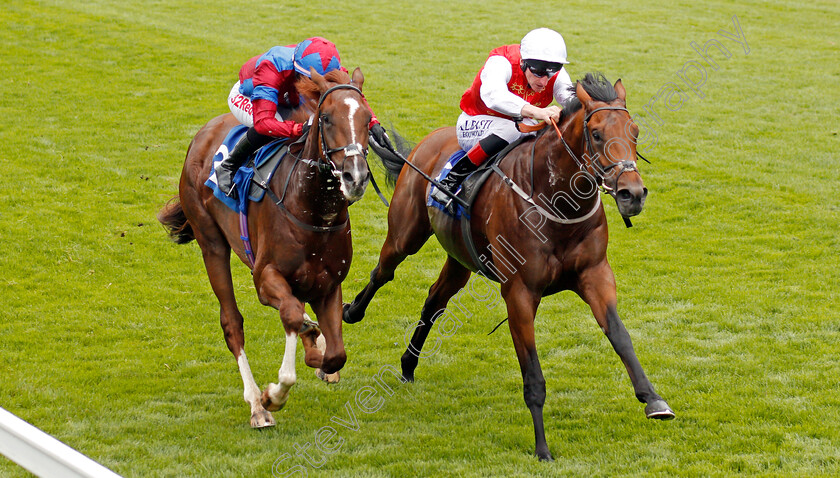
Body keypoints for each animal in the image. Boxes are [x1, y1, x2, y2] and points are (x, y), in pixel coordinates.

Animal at [158, 68, 374, 430]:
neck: (311, 209)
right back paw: (256, 407)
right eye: (326, 118)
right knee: (233, 323)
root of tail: (202, 135)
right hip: (211, 244)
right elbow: (291, 316)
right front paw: (273, 395)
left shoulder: (329, 284)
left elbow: (334, 354)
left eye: (367, 120)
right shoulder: (265, 277)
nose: (355, 177)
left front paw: (317, 353)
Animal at [344, 74, 672, 460]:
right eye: (596, 134)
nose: (631, 194)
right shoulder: (519, 292)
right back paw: (351, 311)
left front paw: (654, 400)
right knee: (383, 272)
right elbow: (532, 372)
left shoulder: (595, 275)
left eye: (634, 131)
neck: (557, 205)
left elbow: (621, 336)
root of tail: (430, 139)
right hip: (405, 235)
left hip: (460, 259)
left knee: (434, 300)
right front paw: (542, 447)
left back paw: (408, 365)